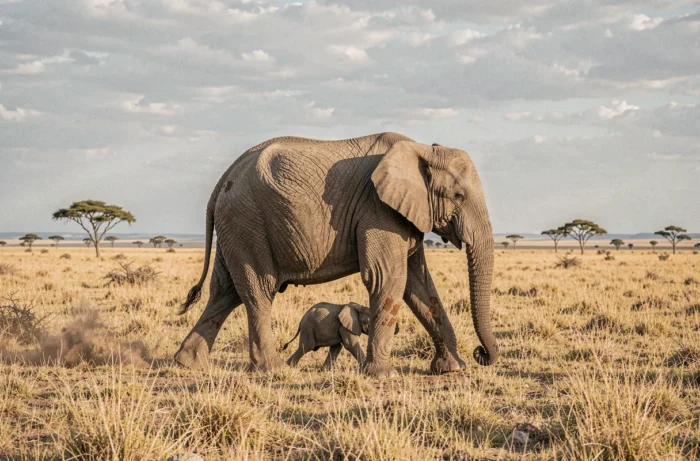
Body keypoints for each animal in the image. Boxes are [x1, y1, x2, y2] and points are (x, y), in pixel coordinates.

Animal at [174, 132, 499, 377]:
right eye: (458, 196)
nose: (481, 353)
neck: (422, 150)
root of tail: (222, 180)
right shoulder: (377, 210)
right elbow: (387, 278)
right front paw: (383, 375)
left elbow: (418, 286)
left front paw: (451, 369)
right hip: (247, 221)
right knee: (258, 290)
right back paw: (272, 370)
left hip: (235, 226)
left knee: (224, 291)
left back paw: (189, 364)